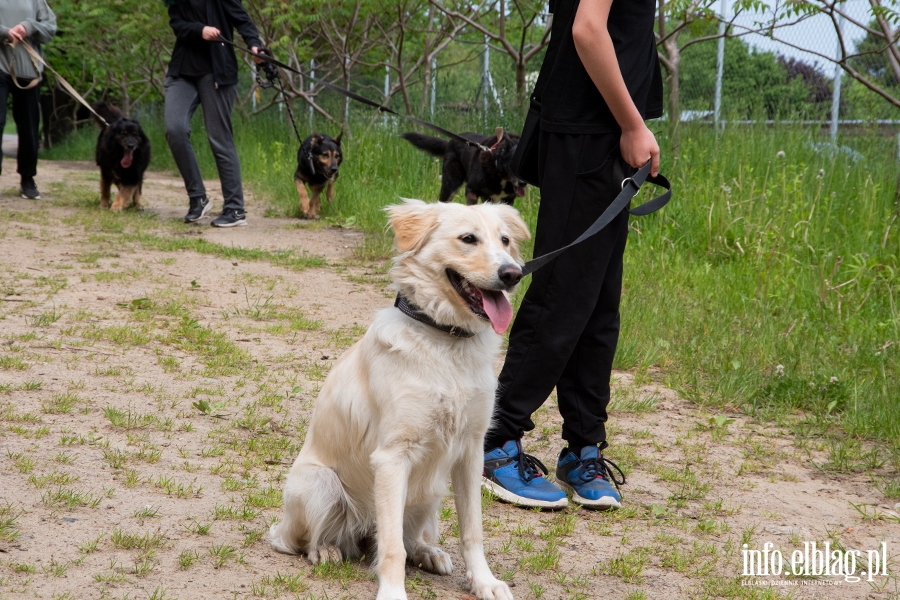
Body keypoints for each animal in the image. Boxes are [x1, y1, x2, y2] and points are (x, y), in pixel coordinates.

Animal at [270, 200, 532, 600]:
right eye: (468, 239)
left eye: (504, 240)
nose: (513, 273)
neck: (447, 342)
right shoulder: (393, 457)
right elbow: (391, 547)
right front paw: (392, 592)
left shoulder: (471, 452)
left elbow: (472, 532)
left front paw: (484, 582)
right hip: (319, 484)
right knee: (301, 542)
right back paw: (325, 550)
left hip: (430, 491)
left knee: (406, 538)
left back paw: (427, 552)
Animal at [400, 126, 528, 204]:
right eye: (514, 166)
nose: (523, 183)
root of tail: (450, 142)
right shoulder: (471, 190)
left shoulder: (507, 201)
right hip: (450, 186)